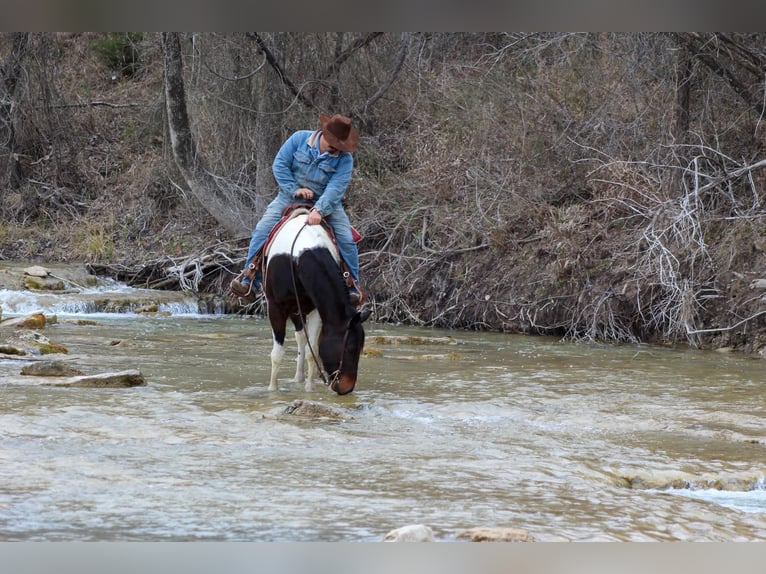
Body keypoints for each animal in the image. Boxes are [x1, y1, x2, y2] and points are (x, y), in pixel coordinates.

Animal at [264, 210, 372, 396]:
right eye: (350, 348)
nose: (347, 389)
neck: (297, 256)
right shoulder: (276, 308)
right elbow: (277, 353)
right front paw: (272, 389)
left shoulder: (316, 310)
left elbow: (312, 350)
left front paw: (309, 389)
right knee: (300, 337)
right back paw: (298, 378)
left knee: (303, 340)